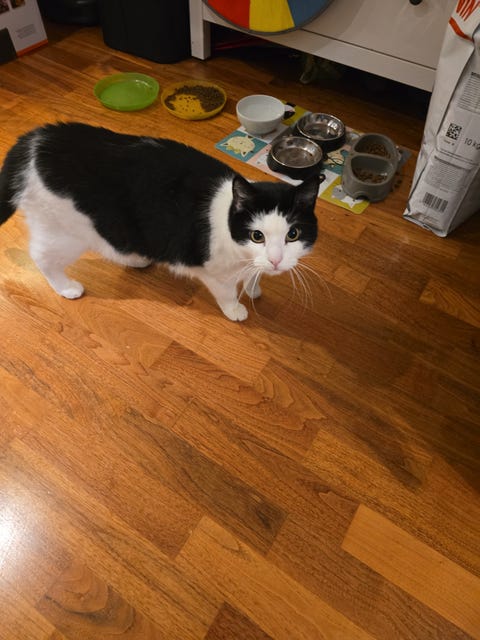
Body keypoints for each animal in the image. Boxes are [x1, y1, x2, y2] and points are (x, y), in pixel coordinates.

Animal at [0, 122, 319, 321]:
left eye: (292, 234)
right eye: (257, 236)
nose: (277, 260)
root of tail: (31, 143)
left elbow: (254, 275)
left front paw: (254, 285)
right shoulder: (214, 272)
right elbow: (227, 292)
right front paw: (236, 309)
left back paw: (137, 259)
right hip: (65, 231)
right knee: (41, 257)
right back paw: (66, 287)